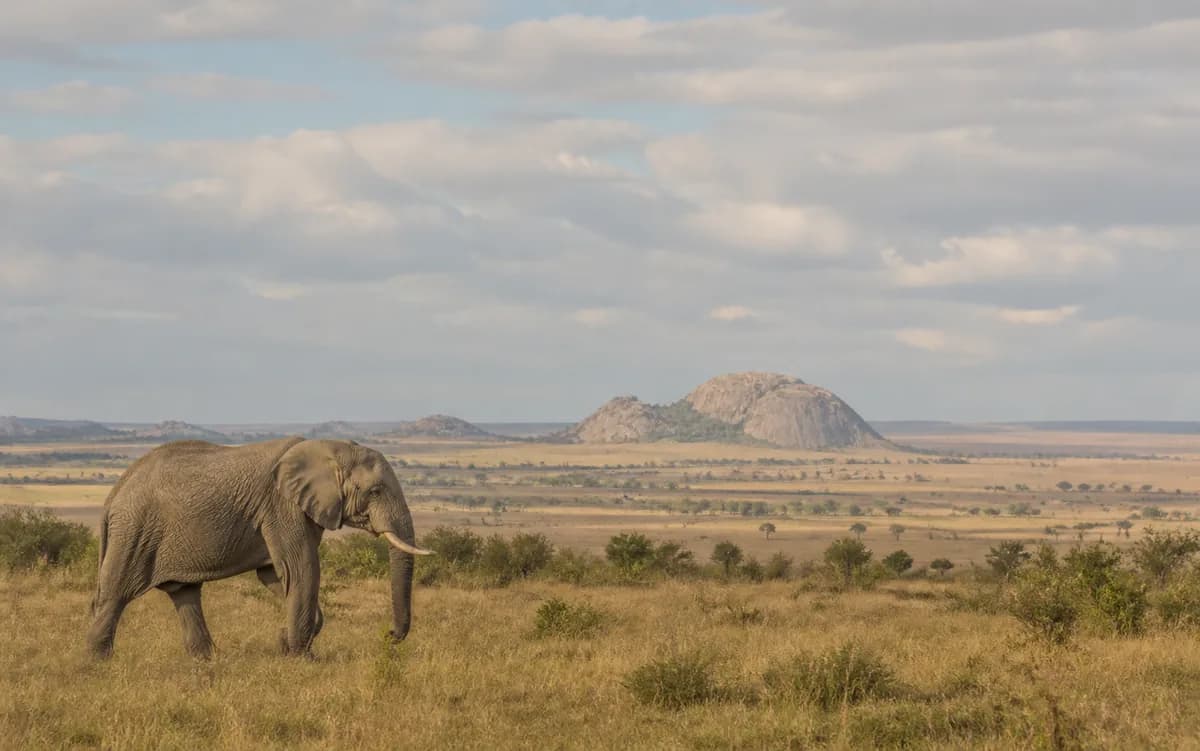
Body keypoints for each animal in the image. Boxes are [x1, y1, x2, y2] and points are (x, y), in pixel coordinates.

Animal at [86, 437, 432, 659]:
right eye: (375, 491)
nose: (389, 636)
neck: (329, 448)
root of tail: (113, 495)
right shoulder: (282, 506)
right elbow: (300, 569)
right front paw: (300, 659)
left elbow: (275, 576)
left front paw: (288, 644)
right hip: (134, 532)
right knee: (115, 595)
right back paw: (96, 666)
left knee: (185, 594)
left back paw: (206, 663)